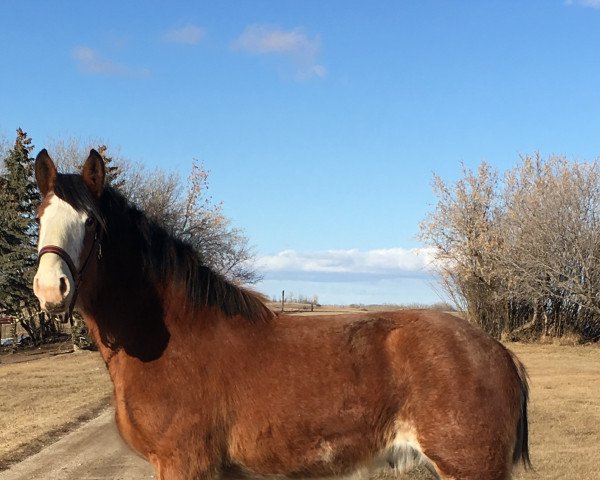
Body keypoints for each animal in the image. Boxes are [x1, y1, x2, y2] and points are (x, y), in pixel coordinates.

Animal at [31, 150, 528, 480]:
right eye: (39, 217)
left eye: (92, 224)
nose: (50, 288)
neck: (173, 338)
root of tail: (498, 353)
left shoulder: (183, 463)